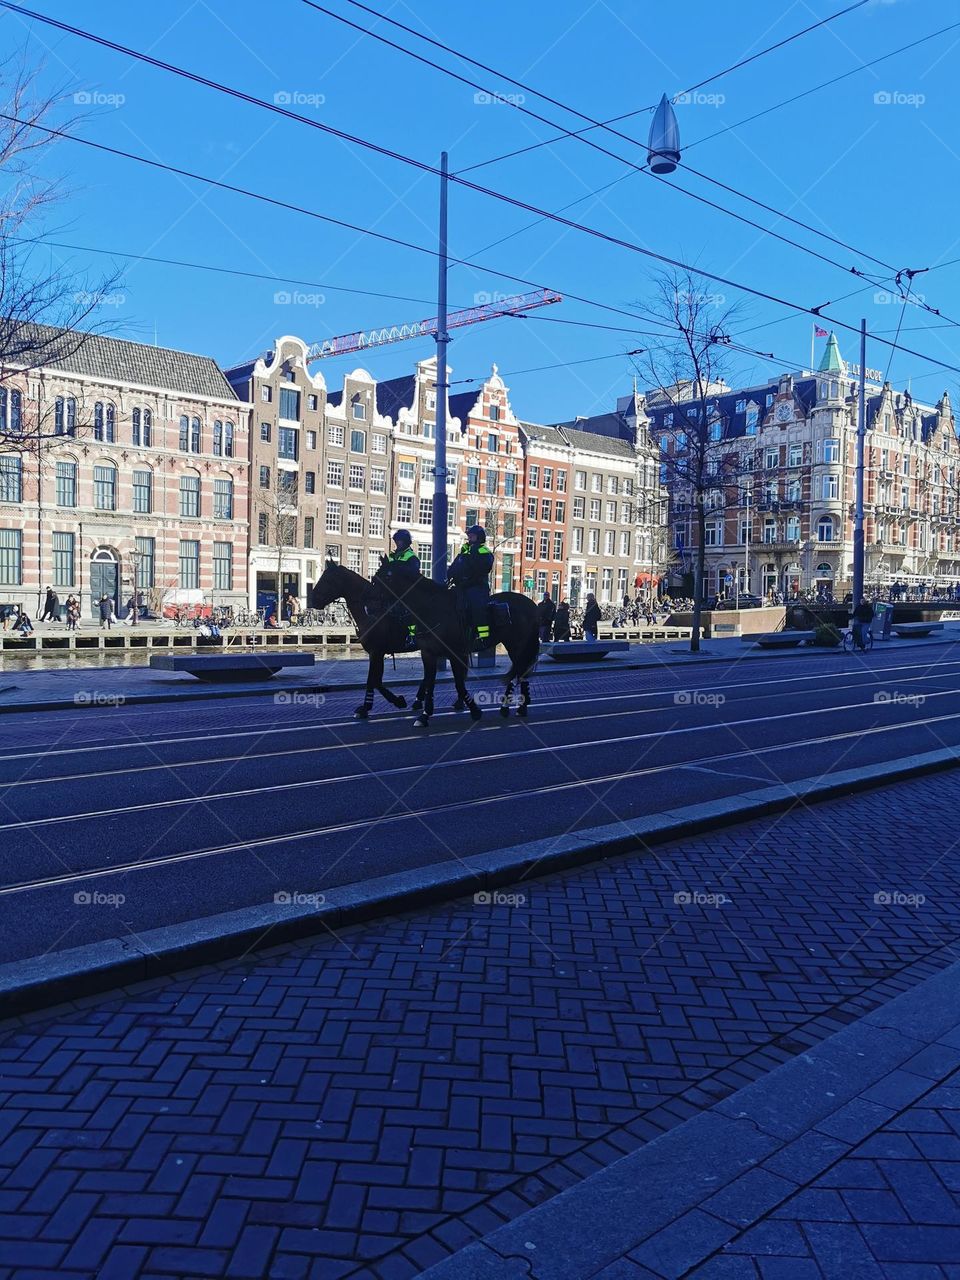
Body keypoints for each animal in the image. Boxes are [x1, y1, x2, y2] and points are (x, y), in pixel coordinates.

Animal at [313, 563, 542, 732]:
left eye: (328, 579)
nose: (312, 599)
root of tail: (532, 605)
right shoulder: (424, 652)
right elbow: (382, 681)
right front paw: (419, 712)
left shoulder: (380, 651)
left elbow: (375, 681)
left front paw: (395, 703)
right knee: (521, 671)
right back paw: (513, 706)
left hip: (516, 645)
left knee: (521, 670)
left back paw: (513, 706)